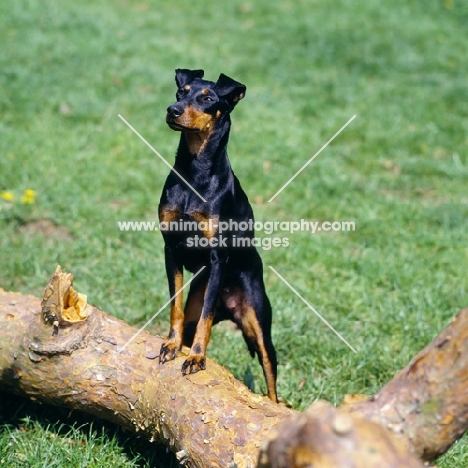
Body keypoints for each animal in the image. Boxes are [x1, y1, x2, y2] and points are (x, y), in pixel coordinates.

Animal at [158, 68, 278, 402]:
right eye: (180, 92)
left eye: (208, 99)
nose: (172, 111)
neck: (194, 172)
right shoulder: (170, 249)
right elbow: (175, 304)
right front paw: (171, 345)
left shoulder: (216, 257)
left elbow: (207, 317)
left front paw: (197, 357)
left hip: (259, 322)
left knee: (271, 379)